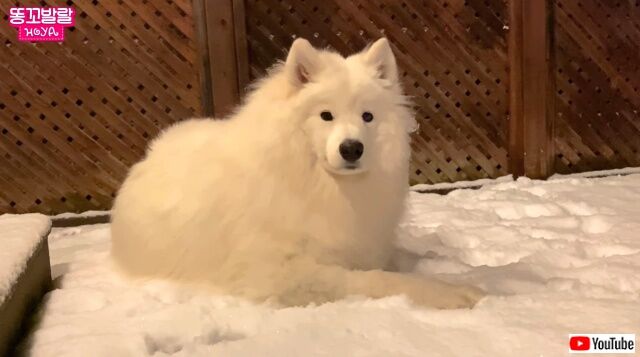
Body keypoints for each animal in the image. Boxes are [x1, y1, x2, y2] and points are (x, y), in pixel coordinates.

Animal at [111, 37, 480, 308]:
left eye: (368, 116)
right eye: (326, 115)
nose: (352, 149)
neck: (317, 183)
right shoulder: (277, 273)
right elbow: (374, 278)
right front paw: (450, 293)